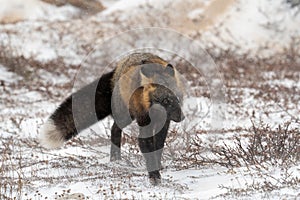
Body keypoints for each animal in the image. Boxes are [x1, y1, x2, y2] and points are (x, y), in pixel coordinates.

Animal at [39, 52, 185, 185]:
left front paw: (157, 167)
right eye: (165, 100)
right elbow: (147, 147)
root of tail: (117, 67)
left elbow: (158, 145)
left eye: (177, 98)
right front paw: (154, 175)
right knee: (115, 129)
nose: (182, 117)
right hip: (125, 116)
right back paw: (115, 159)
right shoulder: (143, 121)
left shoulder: (164, 123)